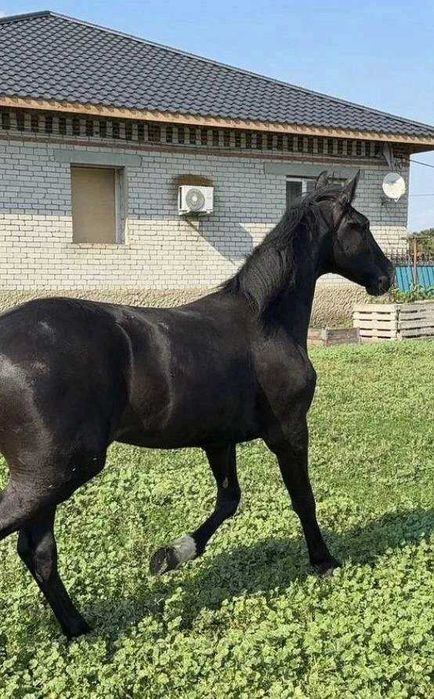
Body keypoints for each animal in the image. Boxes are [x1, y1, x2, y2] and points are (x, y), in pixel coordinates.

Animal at [0, 171, 393, 637]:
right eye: (359, 225)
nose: (387, 276)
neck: (265, 322)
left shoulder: (218, 440)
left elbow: (228, 500)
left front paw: (170, 555)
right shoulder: (290, 431)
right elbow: (302, 499)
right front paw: (324, 561)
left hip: (47, 481)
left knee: (38, 552)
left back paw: (80, 628)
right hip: (55, 473)